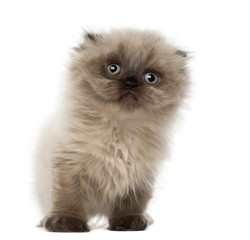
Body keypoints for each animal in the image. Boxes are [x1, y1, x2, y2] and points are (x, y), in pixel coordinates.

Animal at [36, 29, 189, 232]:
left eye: (150, 78)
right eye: (113, 69)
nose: (130, 83)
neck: (118, 130)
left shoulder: (139, 175)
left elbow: (131, 204)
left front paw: (128, 222)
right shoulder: (69, 166)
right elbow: (68, 199)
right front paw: (67, 222)